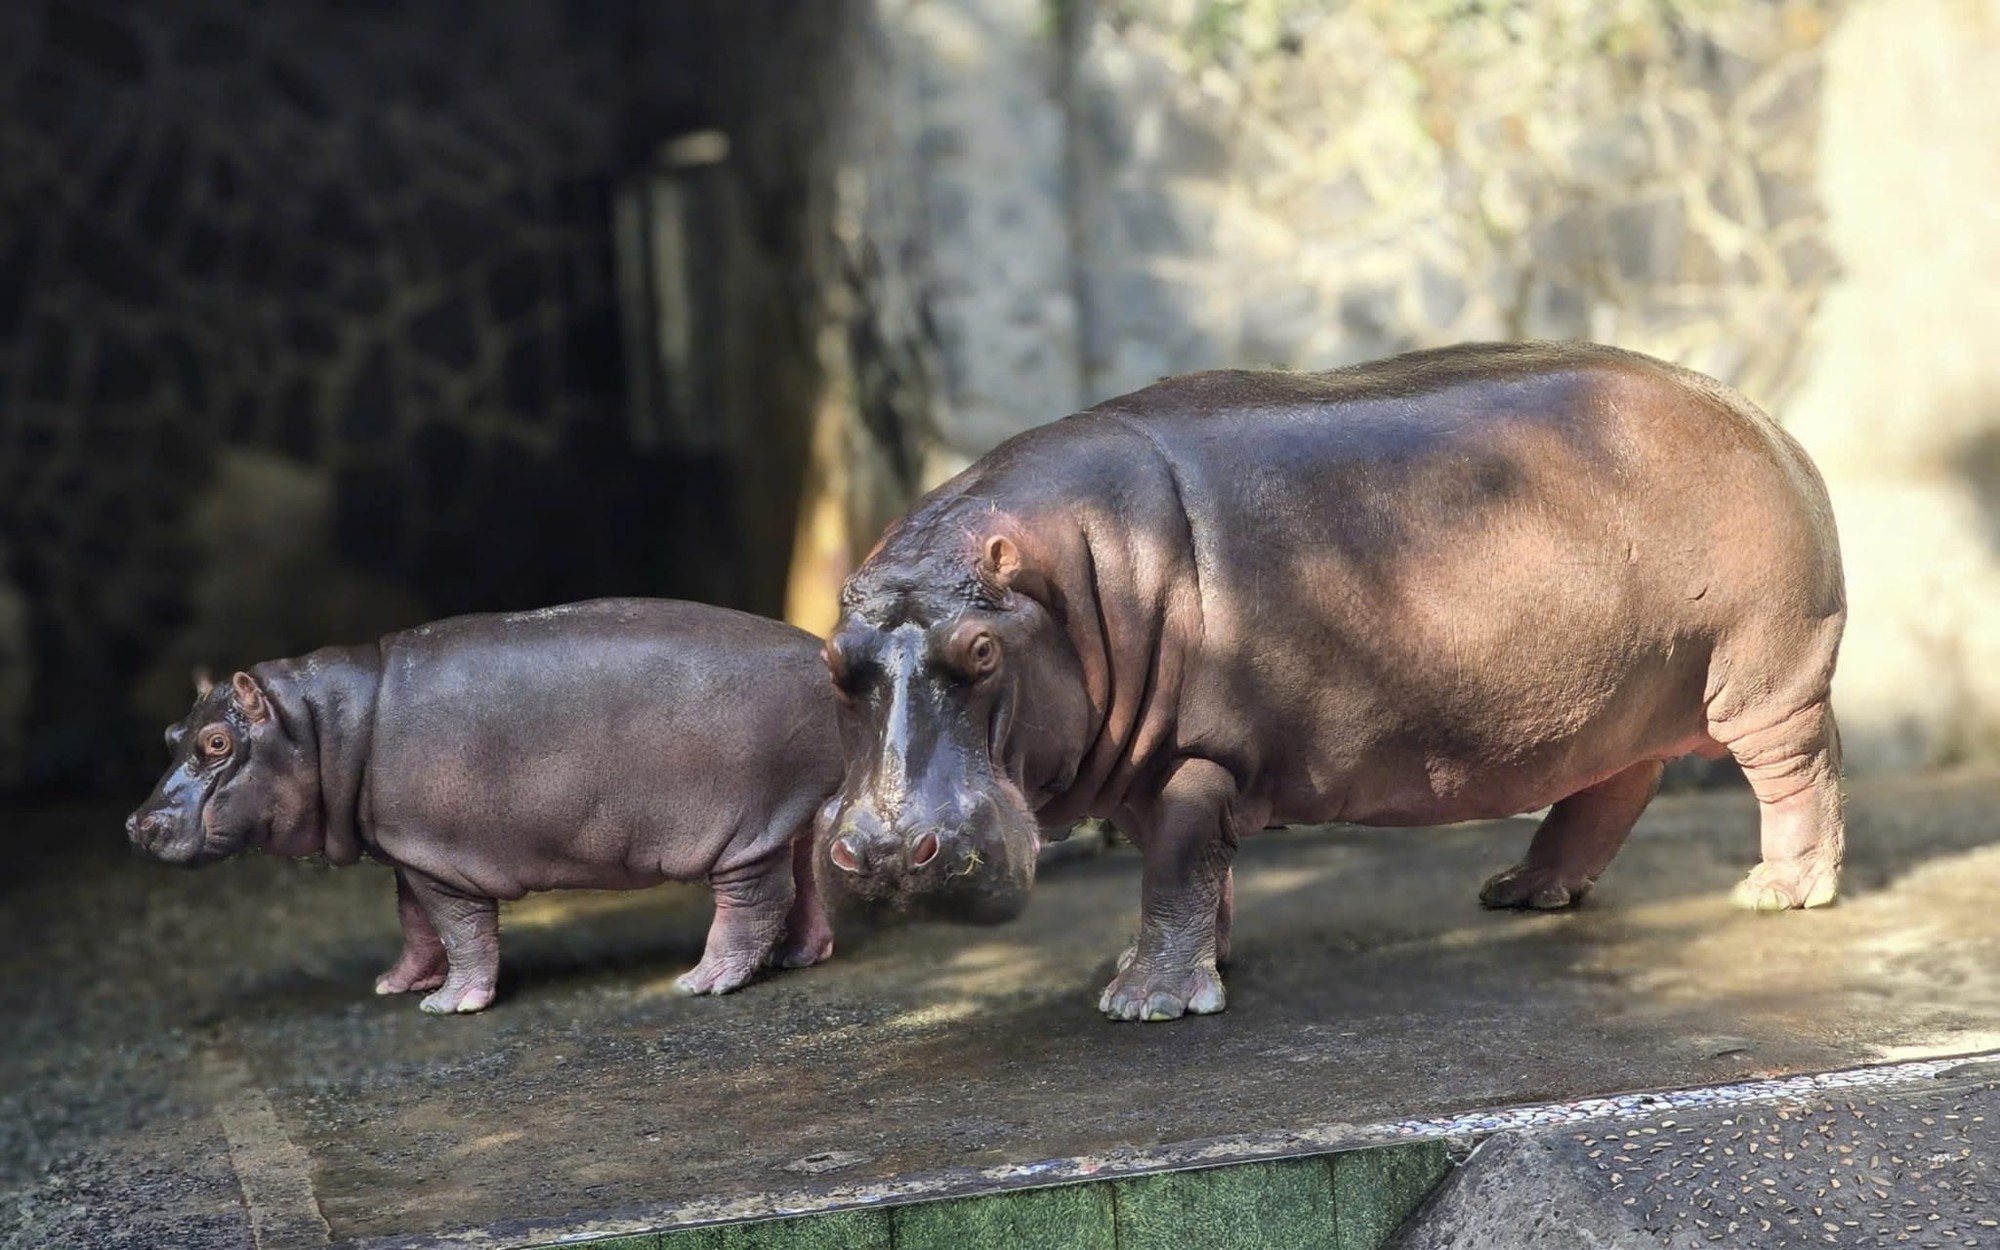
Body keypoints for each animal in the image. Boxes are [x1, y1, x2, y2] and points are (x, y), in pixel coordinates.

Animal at [125, 596, 844, 1016]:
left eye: (217, 744)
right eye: (170, 733)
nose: (136, 823)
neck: (321, 722)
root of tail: (819, 654)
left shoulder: (439, 857)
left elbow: (460, 929)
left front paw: (450, 1005)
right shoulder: (408, 854)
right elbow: (415, 924)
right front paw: (396, 985)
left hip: (746, 828)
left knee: (755, 900)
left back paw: (704, 982)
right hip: (794, 812)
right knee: (807, 880)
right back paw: (797, 958)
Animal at [812, 336, 1840, 1020]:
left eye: (982, 653)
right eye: (832, 661)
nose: (891, 853)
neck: (1081, 577)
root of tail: (1767, 419)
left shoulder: (1194, 756)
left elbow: (1178, 863)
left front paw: (1145, 1002)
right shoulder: (1156, 764)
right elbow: (1190, 870)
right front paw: (1191, 963)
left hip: (1766, 677)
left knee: (1802, 773)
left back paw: (1781, 892)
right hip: (1616, 693)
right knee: (1613, 787)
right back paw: (1523, 890)